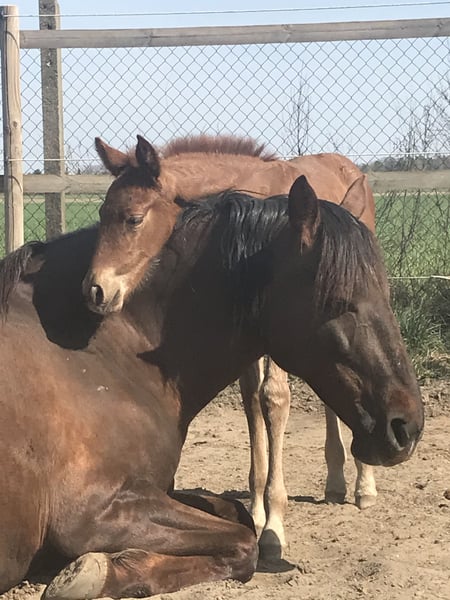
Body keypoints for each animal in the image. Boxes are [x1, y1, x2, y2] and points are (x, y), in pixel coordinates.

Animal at [0, 176, 423, 598]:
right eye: (339, 302)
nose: (407, 427)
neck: (98, 353)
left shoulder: (152, 492)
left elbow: (236, 514)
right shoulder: (92, 514)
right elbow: (243, 542)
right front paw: (94, 573)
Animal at [91, 133, 378, 558]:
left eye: (134, 218)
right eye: (101, 214)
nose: (95, 290)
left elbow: (273, 398)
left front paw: (274, 525)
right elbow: (251, 402)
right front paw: (256, 511)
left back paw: (364, 486)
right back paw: (336, 481)